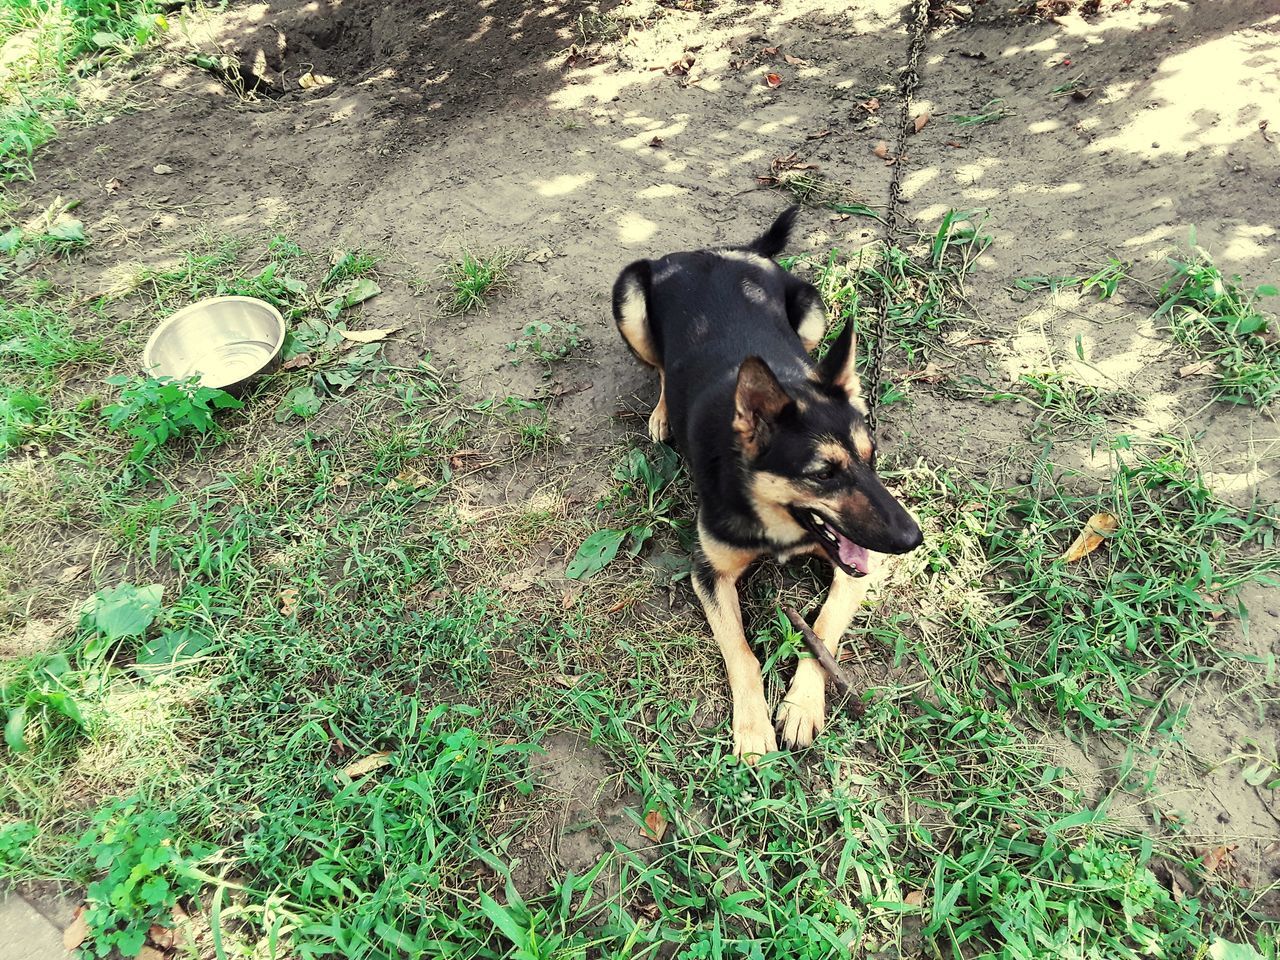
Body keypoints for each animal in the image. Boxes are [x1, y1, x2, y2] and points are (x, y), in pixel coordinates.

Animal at [609, 207, 921, 762]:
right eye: (822, 474)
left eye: (872, 457)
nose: (912, 539)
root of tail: (723, 252)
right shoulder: (709, 573)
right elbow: (742, 654)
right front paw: (753, 730)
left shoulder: (854, 571)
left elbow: (821, 629)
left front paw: (800, 706)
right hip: (629, 295)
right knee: (661, 366)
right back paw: (663, 411)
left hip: (815, 315)